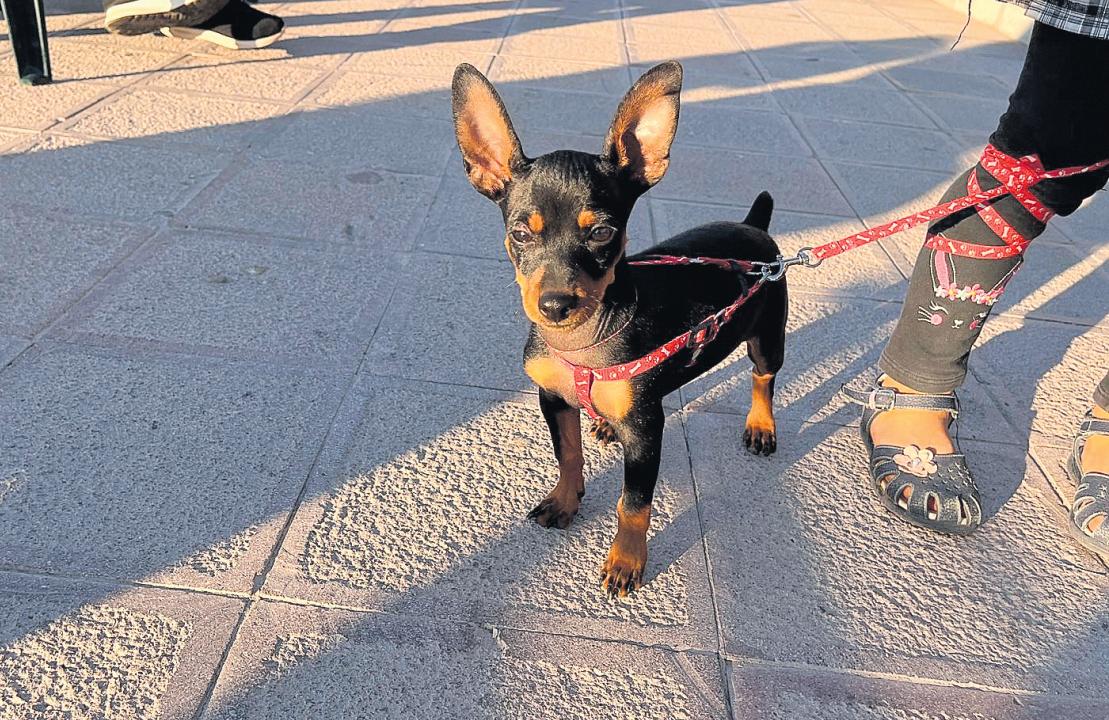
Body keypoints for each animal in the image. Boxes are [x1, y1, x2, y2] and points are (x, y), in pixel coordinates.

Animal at [450, 60, 788, 596]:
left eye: (602, 233)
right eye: (520, 234)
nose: (555, 304)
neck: (584, 345)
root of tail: (754, 226)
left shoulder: (648, 430)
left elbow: (633, 504)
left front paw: (627, 561)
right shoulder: (553, 398)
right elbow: (568, 454)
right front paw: (565, 501)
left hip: (768, 335)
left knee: (763, 377)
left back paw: (761, 425)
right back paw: (606, 423)